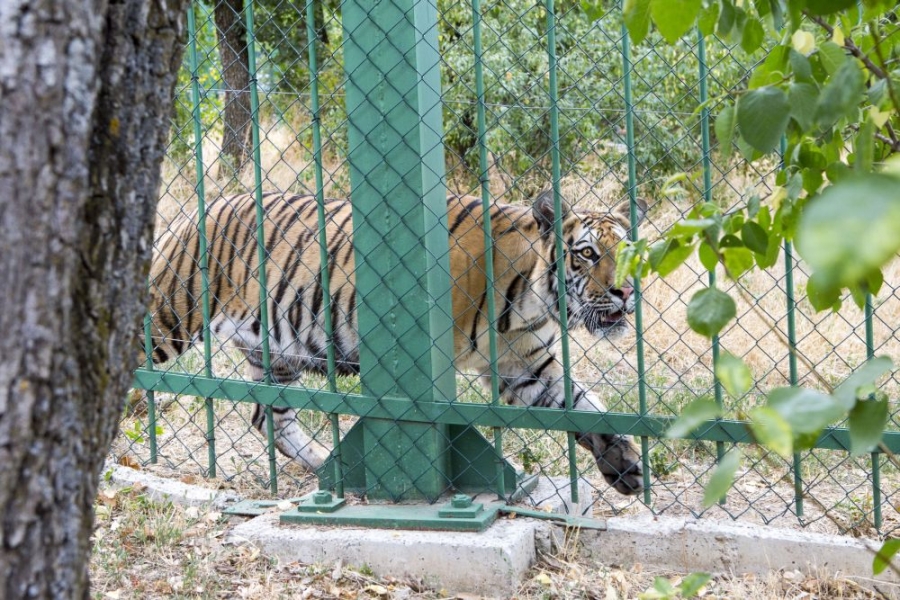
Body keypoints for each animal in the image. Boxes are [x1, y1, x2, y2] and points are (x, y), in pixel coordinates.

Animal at [146, 190, 648, 494]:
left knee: (269, 417)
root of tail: (198, 208)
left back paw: (325, 464)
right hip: (167, 317)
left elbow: (585, 406)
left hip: (274, 354)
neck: (532, 298)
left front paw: (624, 464)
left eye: (628, 250)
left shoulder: (526, 369)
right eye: (588, 253)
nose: (625, 291)